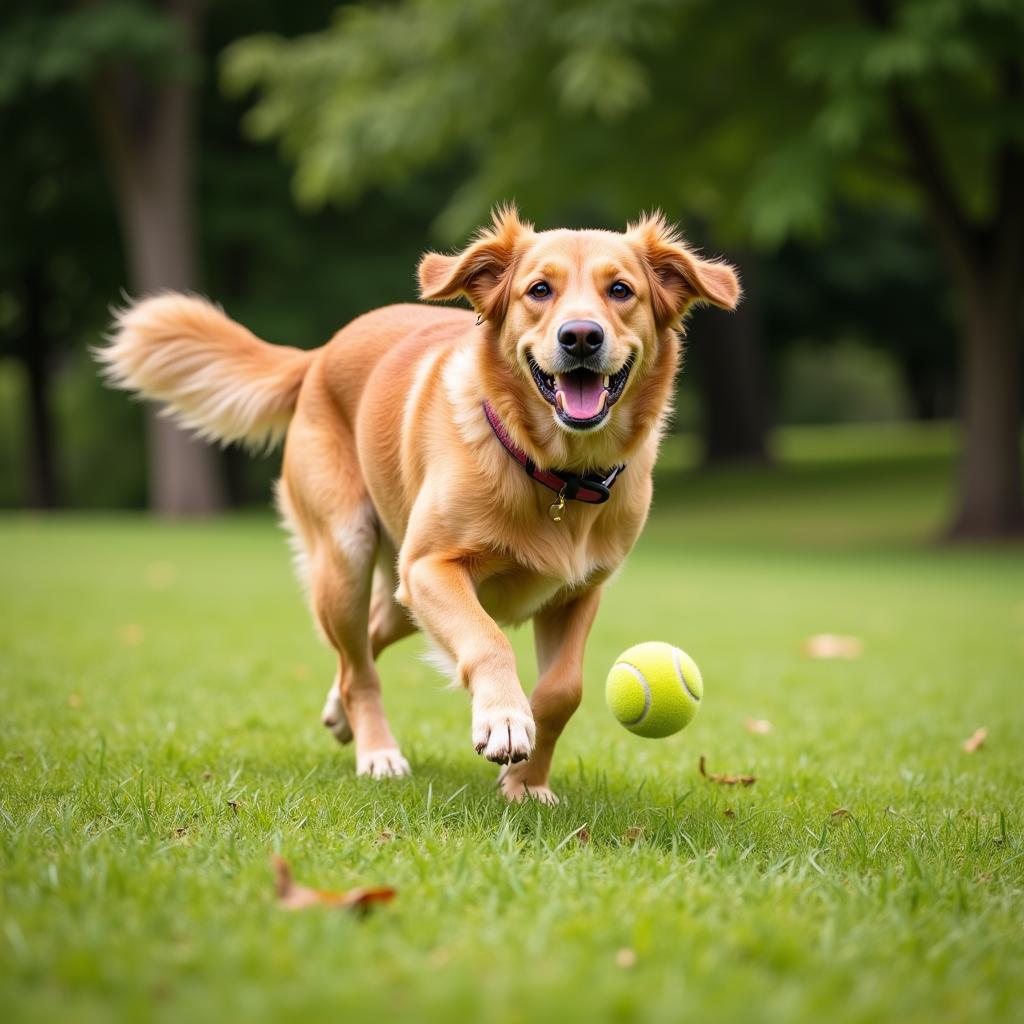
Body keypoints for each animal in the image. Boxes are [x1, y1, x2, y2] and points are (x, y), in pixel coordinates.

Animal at [99, 205, 741, 798]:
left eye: (620, 291)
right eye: (539, 290)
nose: (580, 336)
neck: (551, 471)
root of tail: (320, 353)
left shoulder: (579, 591)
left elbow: (563, 690)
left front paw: (527, 784)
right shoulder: (433, 567)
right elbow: (487, 641)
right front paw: (504, 718)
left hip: (398, 589)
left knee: (367, 640)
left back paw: (339, 715)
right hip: (350, 555)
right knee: (358, 668)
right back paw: (377, 753)